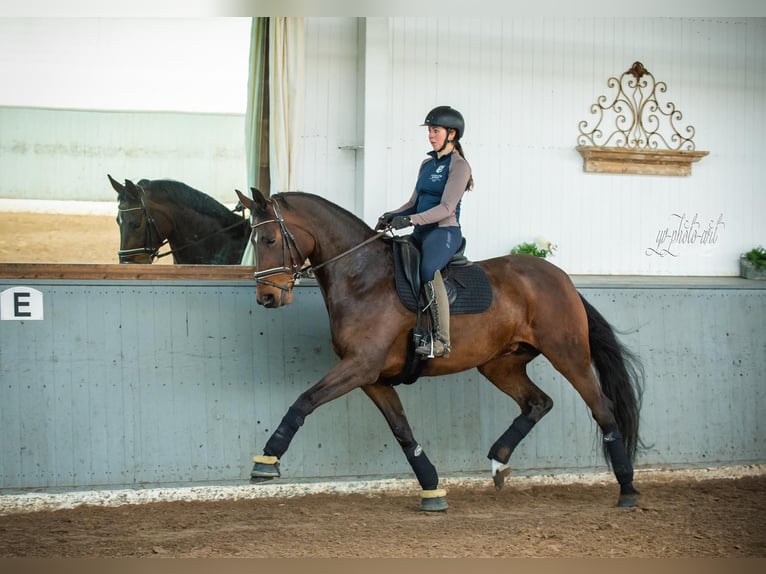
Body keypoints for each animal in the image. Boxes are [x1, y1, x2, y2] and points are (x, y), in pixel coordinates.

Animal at [237, 189, 644, 512]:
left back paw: (627, 489)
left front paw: (267, 459)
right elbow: (403, 432)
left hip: (567, 354)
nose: (267, 297)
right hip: (500, 364)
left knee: (602, 409)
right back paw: (498, 463)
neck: (362, 277)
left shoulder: (359, 367)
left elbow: (304, 401)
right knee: (537, 403)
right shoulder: (371, 377)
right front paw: (432, 489)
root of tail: (562, 279)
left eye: (270, 239)